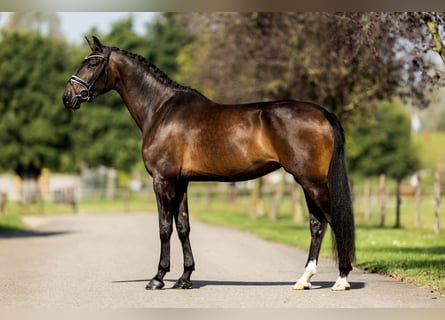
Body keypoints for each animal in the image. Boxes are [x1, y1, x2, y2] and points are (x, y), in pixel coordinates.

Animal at [61, 36, 354, 292]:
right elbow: (183, 227)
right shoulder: (181, 182)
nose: (67, 97)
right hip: (307, 181)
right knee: (317, 225)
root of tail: (323, 113)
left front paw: (158, 277)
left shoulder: (162, 180)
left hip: (312, 180)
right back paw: (304, 279)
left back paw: (341, 278)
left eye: (92, 63)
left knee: (334, 220)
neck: (161, 109)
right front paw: (184, 278)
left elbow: (164, 228)